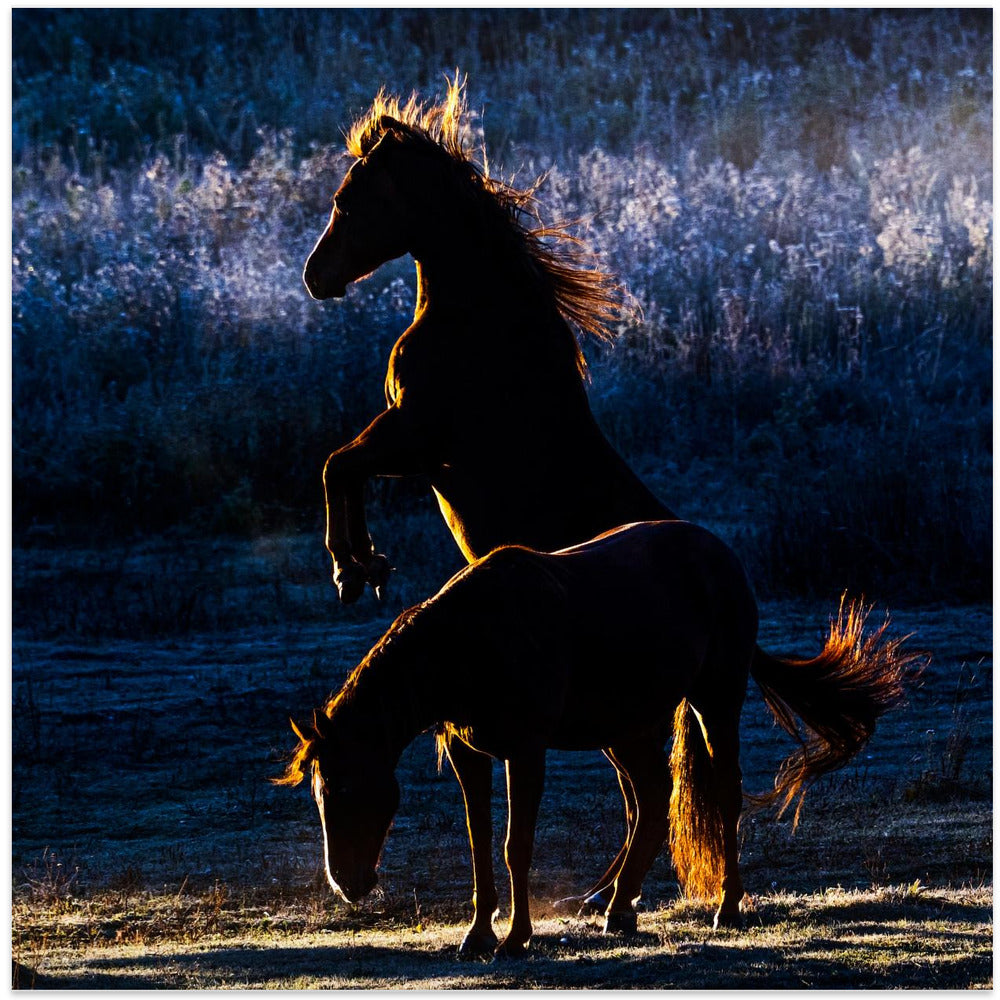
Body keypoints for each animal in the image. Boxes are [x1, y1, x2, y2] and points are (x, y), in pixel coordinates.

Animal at [277, 520, 913, 959]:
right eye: (319, 793)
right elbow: (480, 845)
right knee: (651, 800)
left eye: (349, 789)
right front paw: (477, 937)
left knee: (722, 795)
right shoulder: (468, 755)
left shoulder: (525, 750)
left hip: (715, 699)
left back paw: (725, 910)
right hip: (623, 729)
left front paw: (515, 939)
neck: (471, 642)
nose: (349, 884)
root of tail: (720, 556)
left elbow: (515, 845)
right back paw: (619, 909)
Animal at [303, 75, 672, 913]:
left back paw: (610, 898)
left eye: (350, 200)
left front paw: (354, 568)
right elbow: (341, 465)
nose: (315, 276)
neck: (477, 319)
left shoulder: (416, 437)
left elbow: (338, 465)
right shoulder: (411, 444)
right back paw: (606, 896)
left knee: (647, 791)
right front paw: (361, 567)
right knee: (643, 793)